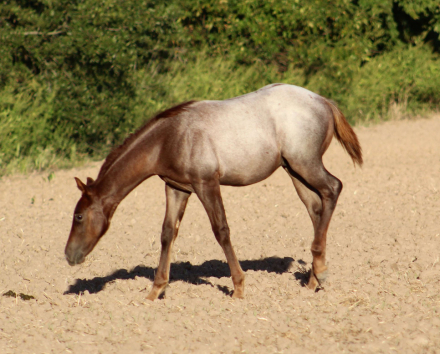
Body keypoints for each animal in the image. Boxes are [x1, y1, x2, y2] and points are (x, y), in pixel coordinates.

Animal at [64, 84, 360, 300]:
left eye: (78, 216)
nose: (69, 255)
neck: (169, 138)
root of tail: (323, 101)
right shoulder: (176, 188)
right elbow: (167, 234)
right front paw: (155, 291)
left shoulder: (206, 184)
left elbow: (221, 230)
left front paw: (238, 288)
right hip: (294, 171)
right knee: (316, 208)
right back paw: (313, 279)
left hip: (305, 163)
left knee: (333, 188)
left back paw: (320, 272)